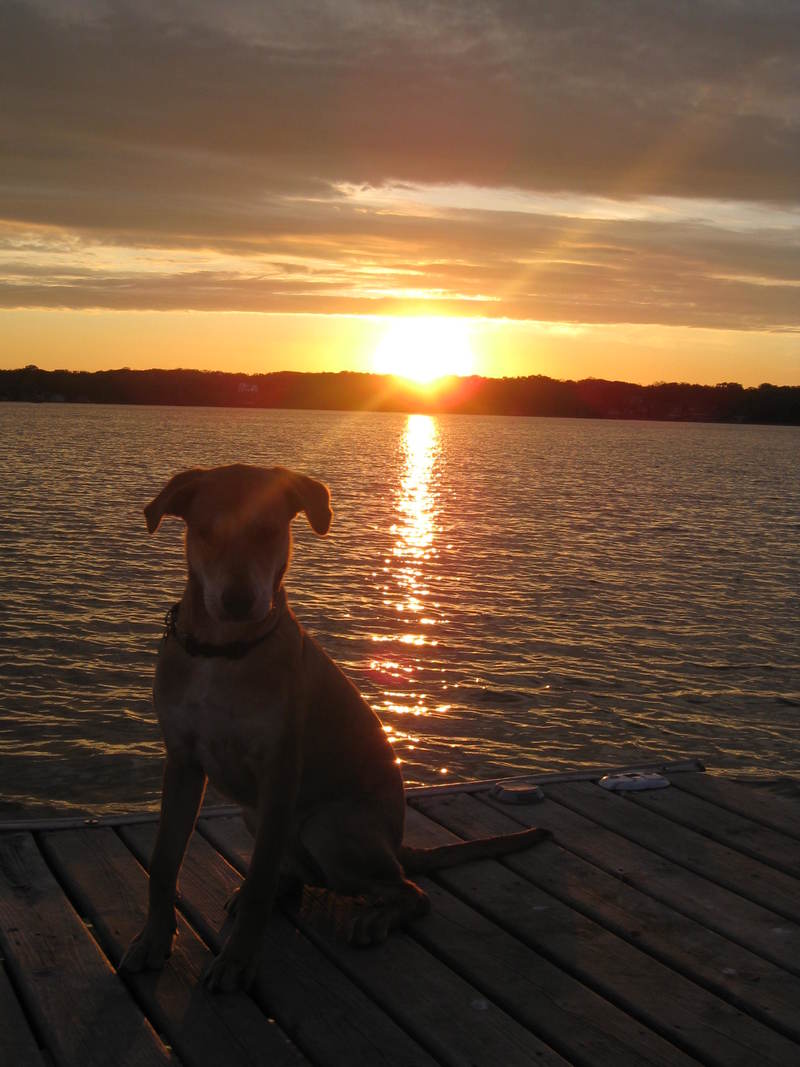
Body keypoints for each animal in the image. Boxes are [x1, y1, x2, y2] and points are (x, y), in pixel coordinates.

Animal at [118, 467, 550, 990]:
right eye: (206, 531)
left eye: (269, 531)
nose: (239, 601)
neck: (223, 654)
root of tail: (396, 846)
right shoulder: (182, 762)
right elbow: (164, 860)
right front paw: (152, 941)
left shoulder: (279, 774)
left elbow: (259, 876)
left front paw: (237, 961)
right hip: (255, 816)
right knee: (298, 874)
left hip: (330, 828)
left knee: (410, 891)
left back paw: (374, 918)